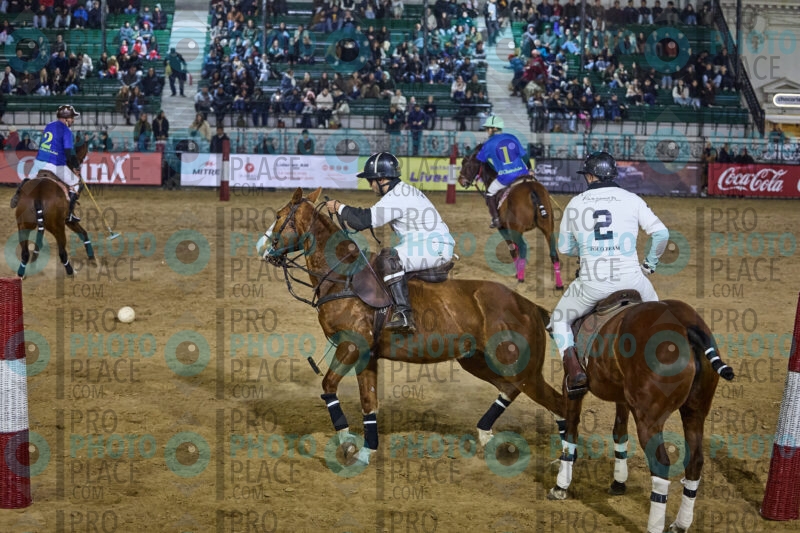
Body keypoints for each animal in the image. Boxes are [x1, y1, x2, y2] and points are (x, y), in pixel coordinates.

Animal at [14, 142, 95, 278]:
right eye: (80, 162)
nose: (80, 180)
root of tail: (38, 194)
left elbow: (38, 242)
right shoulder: (68, 220)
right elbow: (83, 232)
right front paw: (92, 257)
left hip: (23, 224)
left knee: (24, 252)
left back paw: (21, 273)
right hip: (58, 227)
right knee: (62, 252)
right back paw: (70, 272)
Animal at [260, 187, 565, 466]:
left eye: (279, 216)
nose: (264, 251)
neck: (343, 278)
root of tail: (530, 306)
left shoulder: (351, 346)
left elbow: (328, 386)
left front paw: (347, 443)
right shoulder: (366, 355)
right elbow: (368, 404)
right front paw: (366, 452)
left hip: (524, 369)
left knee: (559, 404)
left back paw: (561, 467)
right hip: (477, 360)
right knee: (510, 389)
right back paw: (487, 434)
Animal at [458, 144, 564, 289]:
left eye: (466, 164)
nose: (460, 181)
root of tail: (532, 190)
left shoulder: (503, 228)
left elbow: (513, 250)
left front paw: (517, 274)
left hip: (517, 230)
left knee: (523, 248)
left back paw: (521, 278)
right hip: (548, 227)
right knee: (553, 254)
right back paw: (559, 285)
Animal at [546, 290, 735, 533]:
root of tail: (686, 325)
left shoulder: (571, 386)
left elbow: (571, 430)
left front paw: (561, 485)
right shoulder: (623, 398)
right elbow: (619, 433)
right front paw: (619, 482)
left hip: (649, 420)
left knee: (661, 465)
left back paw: (655, 526)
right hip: (695, 411)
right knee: (695, 461)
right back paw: (680, 523)